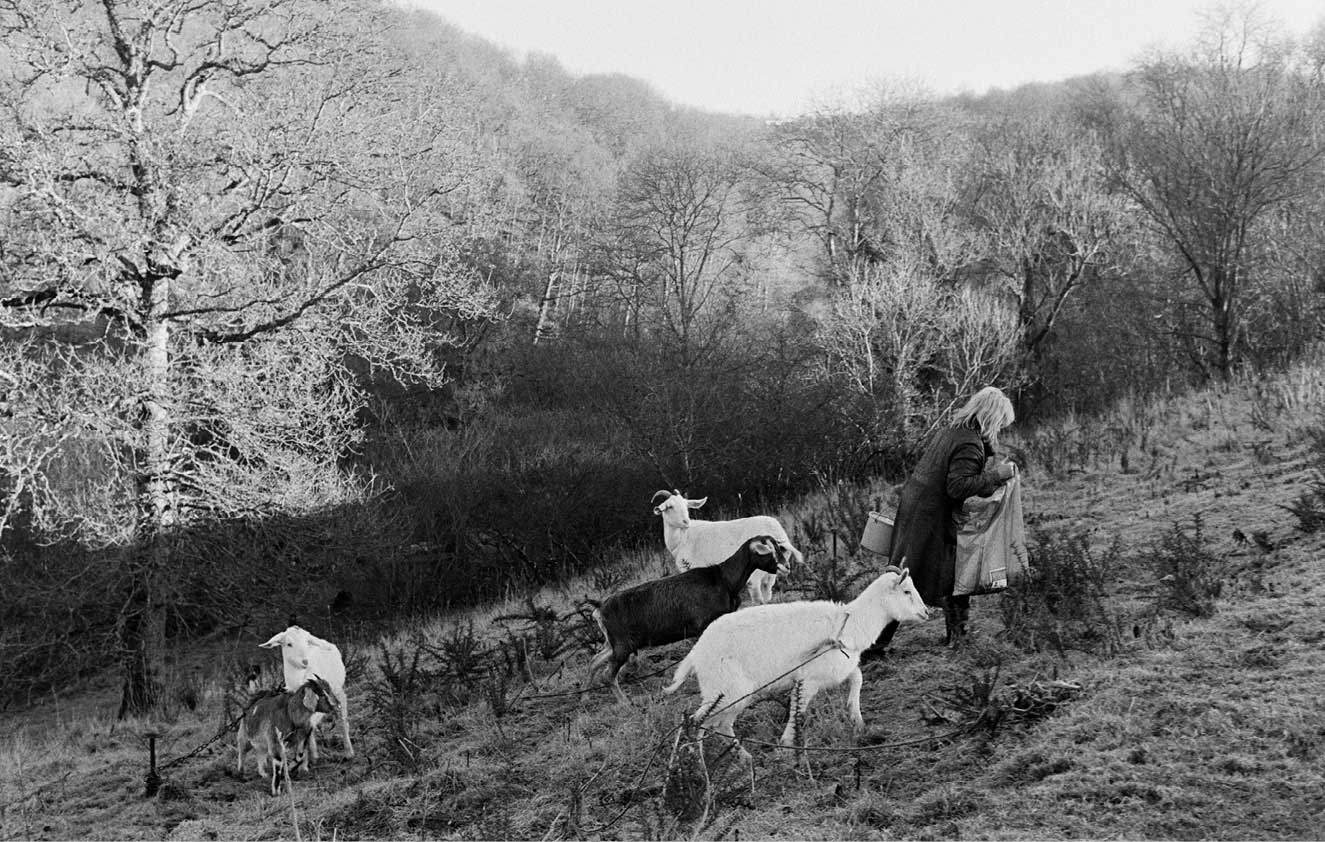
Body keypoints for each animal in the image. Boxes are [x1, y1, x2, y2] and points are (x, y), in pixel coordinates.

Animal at [257, 625, 352, 763]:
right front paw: (311, 756)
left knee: (343, 716)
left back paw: (349, 752)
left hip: (338, 689)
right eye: (289, 644)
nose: (305, 661)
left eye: (306, 642)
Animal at [588, 533, 784, 705]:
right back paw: (625, 703)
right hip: (623, 646)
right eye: (769, 550)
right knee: (608, 674)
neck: (726, 579)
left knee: (595, 661)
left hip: (613, 644)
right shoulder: (704, 625)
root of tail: (600, 609)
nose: (785, 567)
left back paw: (586, 696)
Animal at [654, 490, 805, 601]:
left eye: (686, 506)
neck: (683, 537)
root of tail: (777, 533)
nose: (686, 521)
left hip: (755, 574)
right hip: (773, 570)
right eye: (670, 506)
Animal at [662, 567, 932, 758]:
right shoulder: (809, 678)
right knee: (696, 722)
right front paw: (786, 744)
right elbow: (797, 708)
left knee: (721, 725)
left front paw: (857, 719)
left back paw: (744, 758)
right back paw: (696, 765)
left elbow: (858, 677)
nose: (926, 612)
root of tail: (696, 652)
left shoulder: (837, 667)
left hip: (730, 694)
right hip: (726, 690)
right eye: (907, 591)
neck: (850, 622)